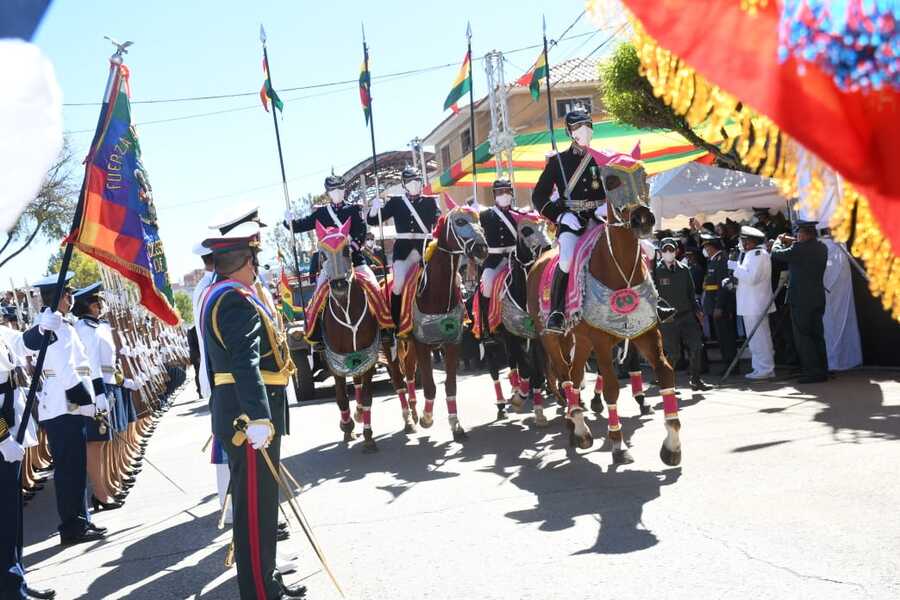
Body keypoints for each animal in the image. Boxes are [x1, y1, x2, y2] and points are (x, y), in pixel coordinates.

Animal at [398, 200, 488, 440]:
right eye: (460, 221)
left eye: (479, 221)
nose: (482, 248)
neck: (435, 294)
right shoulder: (422, 343)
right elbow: (430, 386)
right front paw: (427, 418)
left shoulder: (452, 343)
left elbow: (451, 385)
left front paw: (455, 424)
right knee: (399, 379)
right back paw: (409, 418)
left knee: (409, 373)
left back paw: (412, 409)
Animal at [524, 154, 680, 464]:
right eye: (611, 181)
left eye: (644, 175)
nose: (642, 218)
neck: (619, 266)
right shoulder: (602, 340)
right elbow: (610, 388)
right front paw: (618, 445)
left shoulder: (646, 333)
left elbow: (666, 373)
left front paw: (672, 444)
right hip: (551, 338)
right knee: (565, 376)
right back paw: (579, 427)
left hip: (579, 340)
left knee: (574, 375)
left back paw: (575, 424)